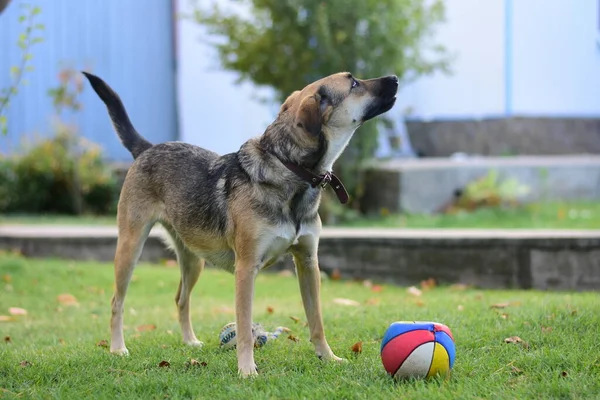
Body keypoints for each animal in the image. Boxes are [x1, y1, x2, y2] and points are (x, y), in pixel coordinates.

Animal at [81, 71, 398, 376]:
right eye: (354, 83)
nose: (394, 78)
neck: (289, 168)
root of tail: (148, 148)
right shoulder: (246, 269)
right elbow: (244, 328)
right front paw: (247, 370)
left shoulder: (308, 263)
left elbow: (316, 321)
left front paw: (328, 358)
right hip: (130, 248)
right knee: (117, 302)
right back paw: (117, 348)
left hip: (194, 260)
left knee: (181, 299)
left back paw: (189, 342)